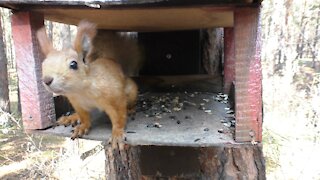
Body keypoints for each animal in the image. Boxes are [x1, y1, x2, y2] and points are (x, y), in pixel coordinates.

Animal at [37, 20, 138, 148]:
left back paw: (131, 109)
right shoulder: (78, 104)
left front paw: (117, 134)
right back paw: (72, 117)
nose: (47, 80)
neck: (81, 91)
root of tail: (112, 60)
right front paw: (82, 127)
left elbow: (119, 116)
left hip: (131, 91)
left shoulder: (115, 97)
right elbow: (84, 117)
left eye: (73, 64)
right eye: (43, 64)